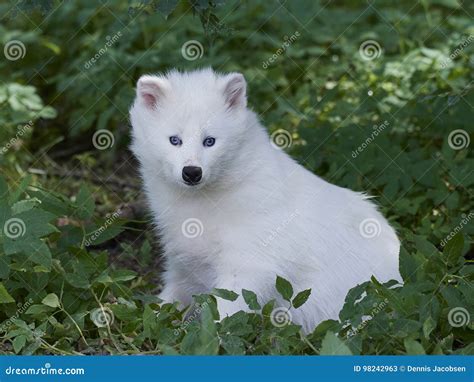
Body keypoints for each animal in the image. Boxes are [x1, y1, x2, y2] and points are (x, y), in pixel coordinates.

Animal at [130, 67, 400, 332]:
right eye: (174, 140)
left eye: (210, 141)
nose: (192, 172)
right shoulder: (183, 266)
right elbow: (165, 302)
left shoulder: (248, 267)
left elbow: (223, 316)